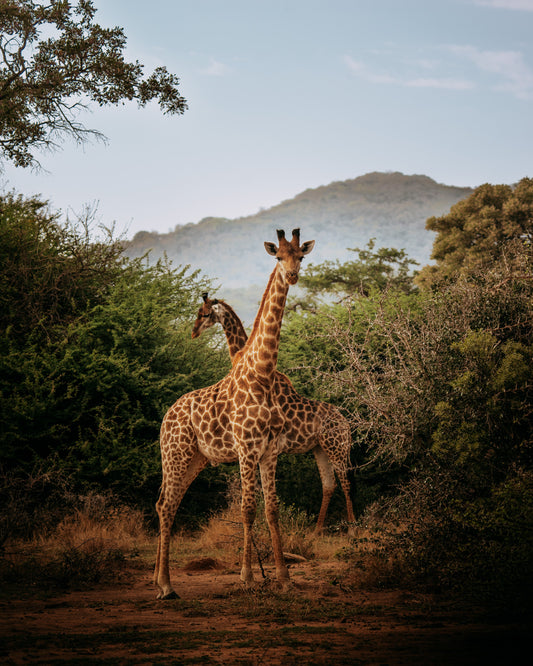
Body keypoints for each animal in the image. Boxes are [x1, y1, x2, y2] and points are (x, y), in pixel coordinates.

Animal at [152, 227, 314, 596]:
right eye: (278, 256)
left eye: (300, 256)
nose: (292, 275)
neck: (262, 372)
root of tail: (166, 416)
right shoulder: (245, 449)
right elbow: (247, 508)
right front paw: (248, 577)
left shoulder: (270, 451)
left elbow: (272, 509)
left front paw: (283, 577)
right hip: (175, 454)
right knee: (166, 505)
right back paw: (166, 586)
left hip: (194, 460)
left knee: (167, 502)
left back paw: (159, 581)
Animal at [191, 294, 354, 532]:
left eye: (203, 314)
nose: (193, 332)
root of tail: (347, 424)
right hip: (320, 448)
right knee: (329, 485)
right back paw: (316, 531)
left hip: (337, 447)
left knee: (346, 482)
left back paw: (353, 527)